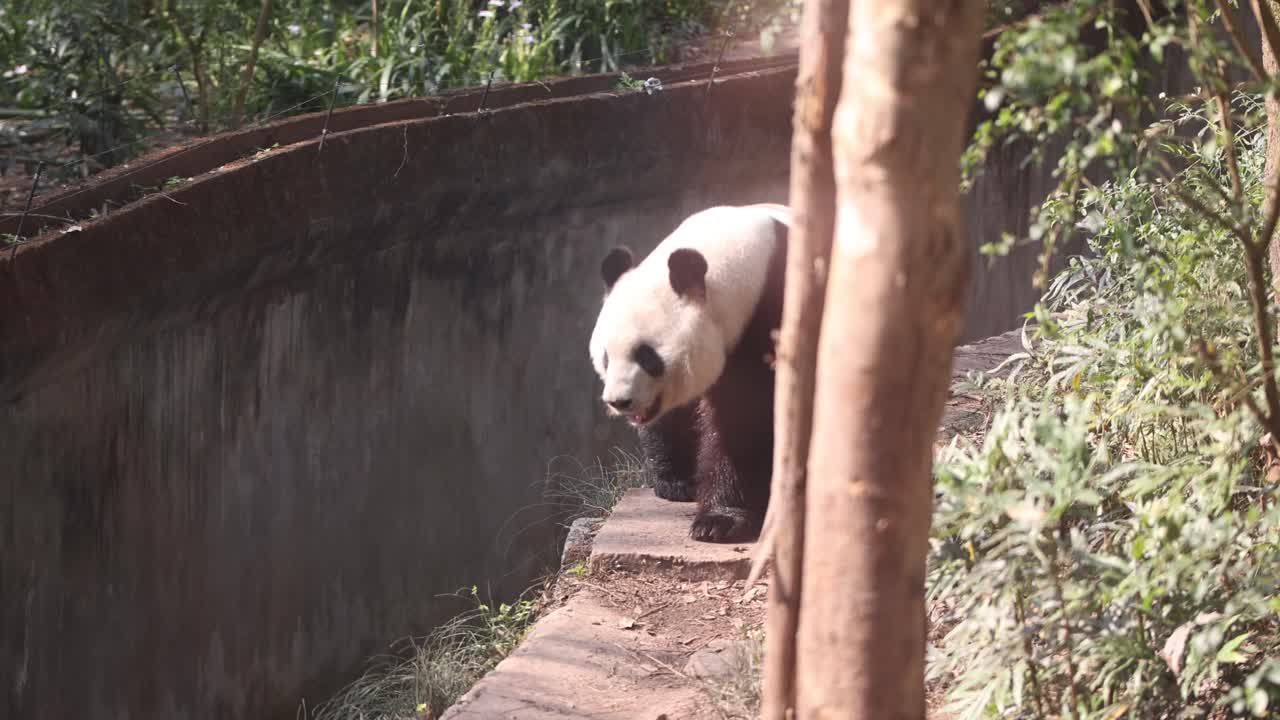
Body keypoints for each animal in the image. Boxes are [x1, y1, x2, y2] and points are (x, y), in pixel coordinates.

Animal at [588, 203, 789, 543]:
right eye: (606, 356)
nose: (619, 401)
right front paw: (680, 485)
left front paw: (719, 522)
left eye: (647, 356)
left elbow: (744, 421)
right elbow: (674, 417)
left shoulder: (769, 315)